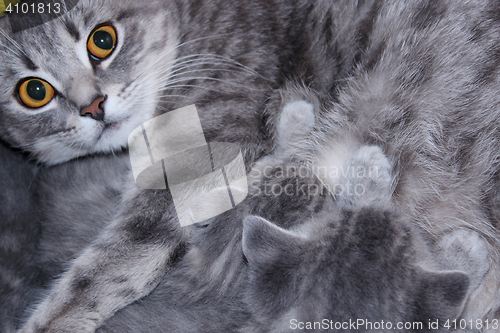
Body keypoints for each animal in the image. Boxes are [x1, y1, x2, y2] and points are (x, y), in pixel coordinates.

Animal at [0, 0, 500, 330]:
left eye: (102, 40)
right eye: (34, 91)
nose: (92, 106)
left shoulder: (205, 153)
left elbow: (107, 268)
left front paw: (52, 321)